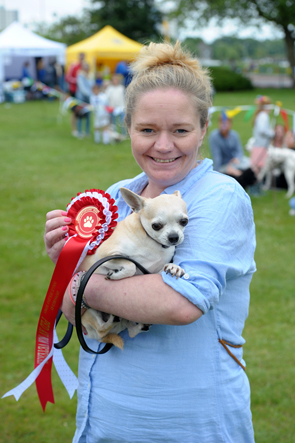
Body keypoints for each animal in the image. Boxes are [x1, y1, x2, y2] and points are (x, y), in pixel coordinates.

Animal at [79, 188, 190, 350]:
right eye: (156, 226)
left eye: (184, 221)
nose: (174, 237)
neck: (152, 243)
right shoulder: (105, 255)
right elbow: (131, 264)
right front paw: (115, 274)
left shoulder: (152, 272)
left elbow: (161, 267)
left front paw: (174, 267)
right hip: (90, 314)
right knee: (101, 330)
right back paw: (110, 321)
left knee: (130, 332)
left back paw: (139, 326)